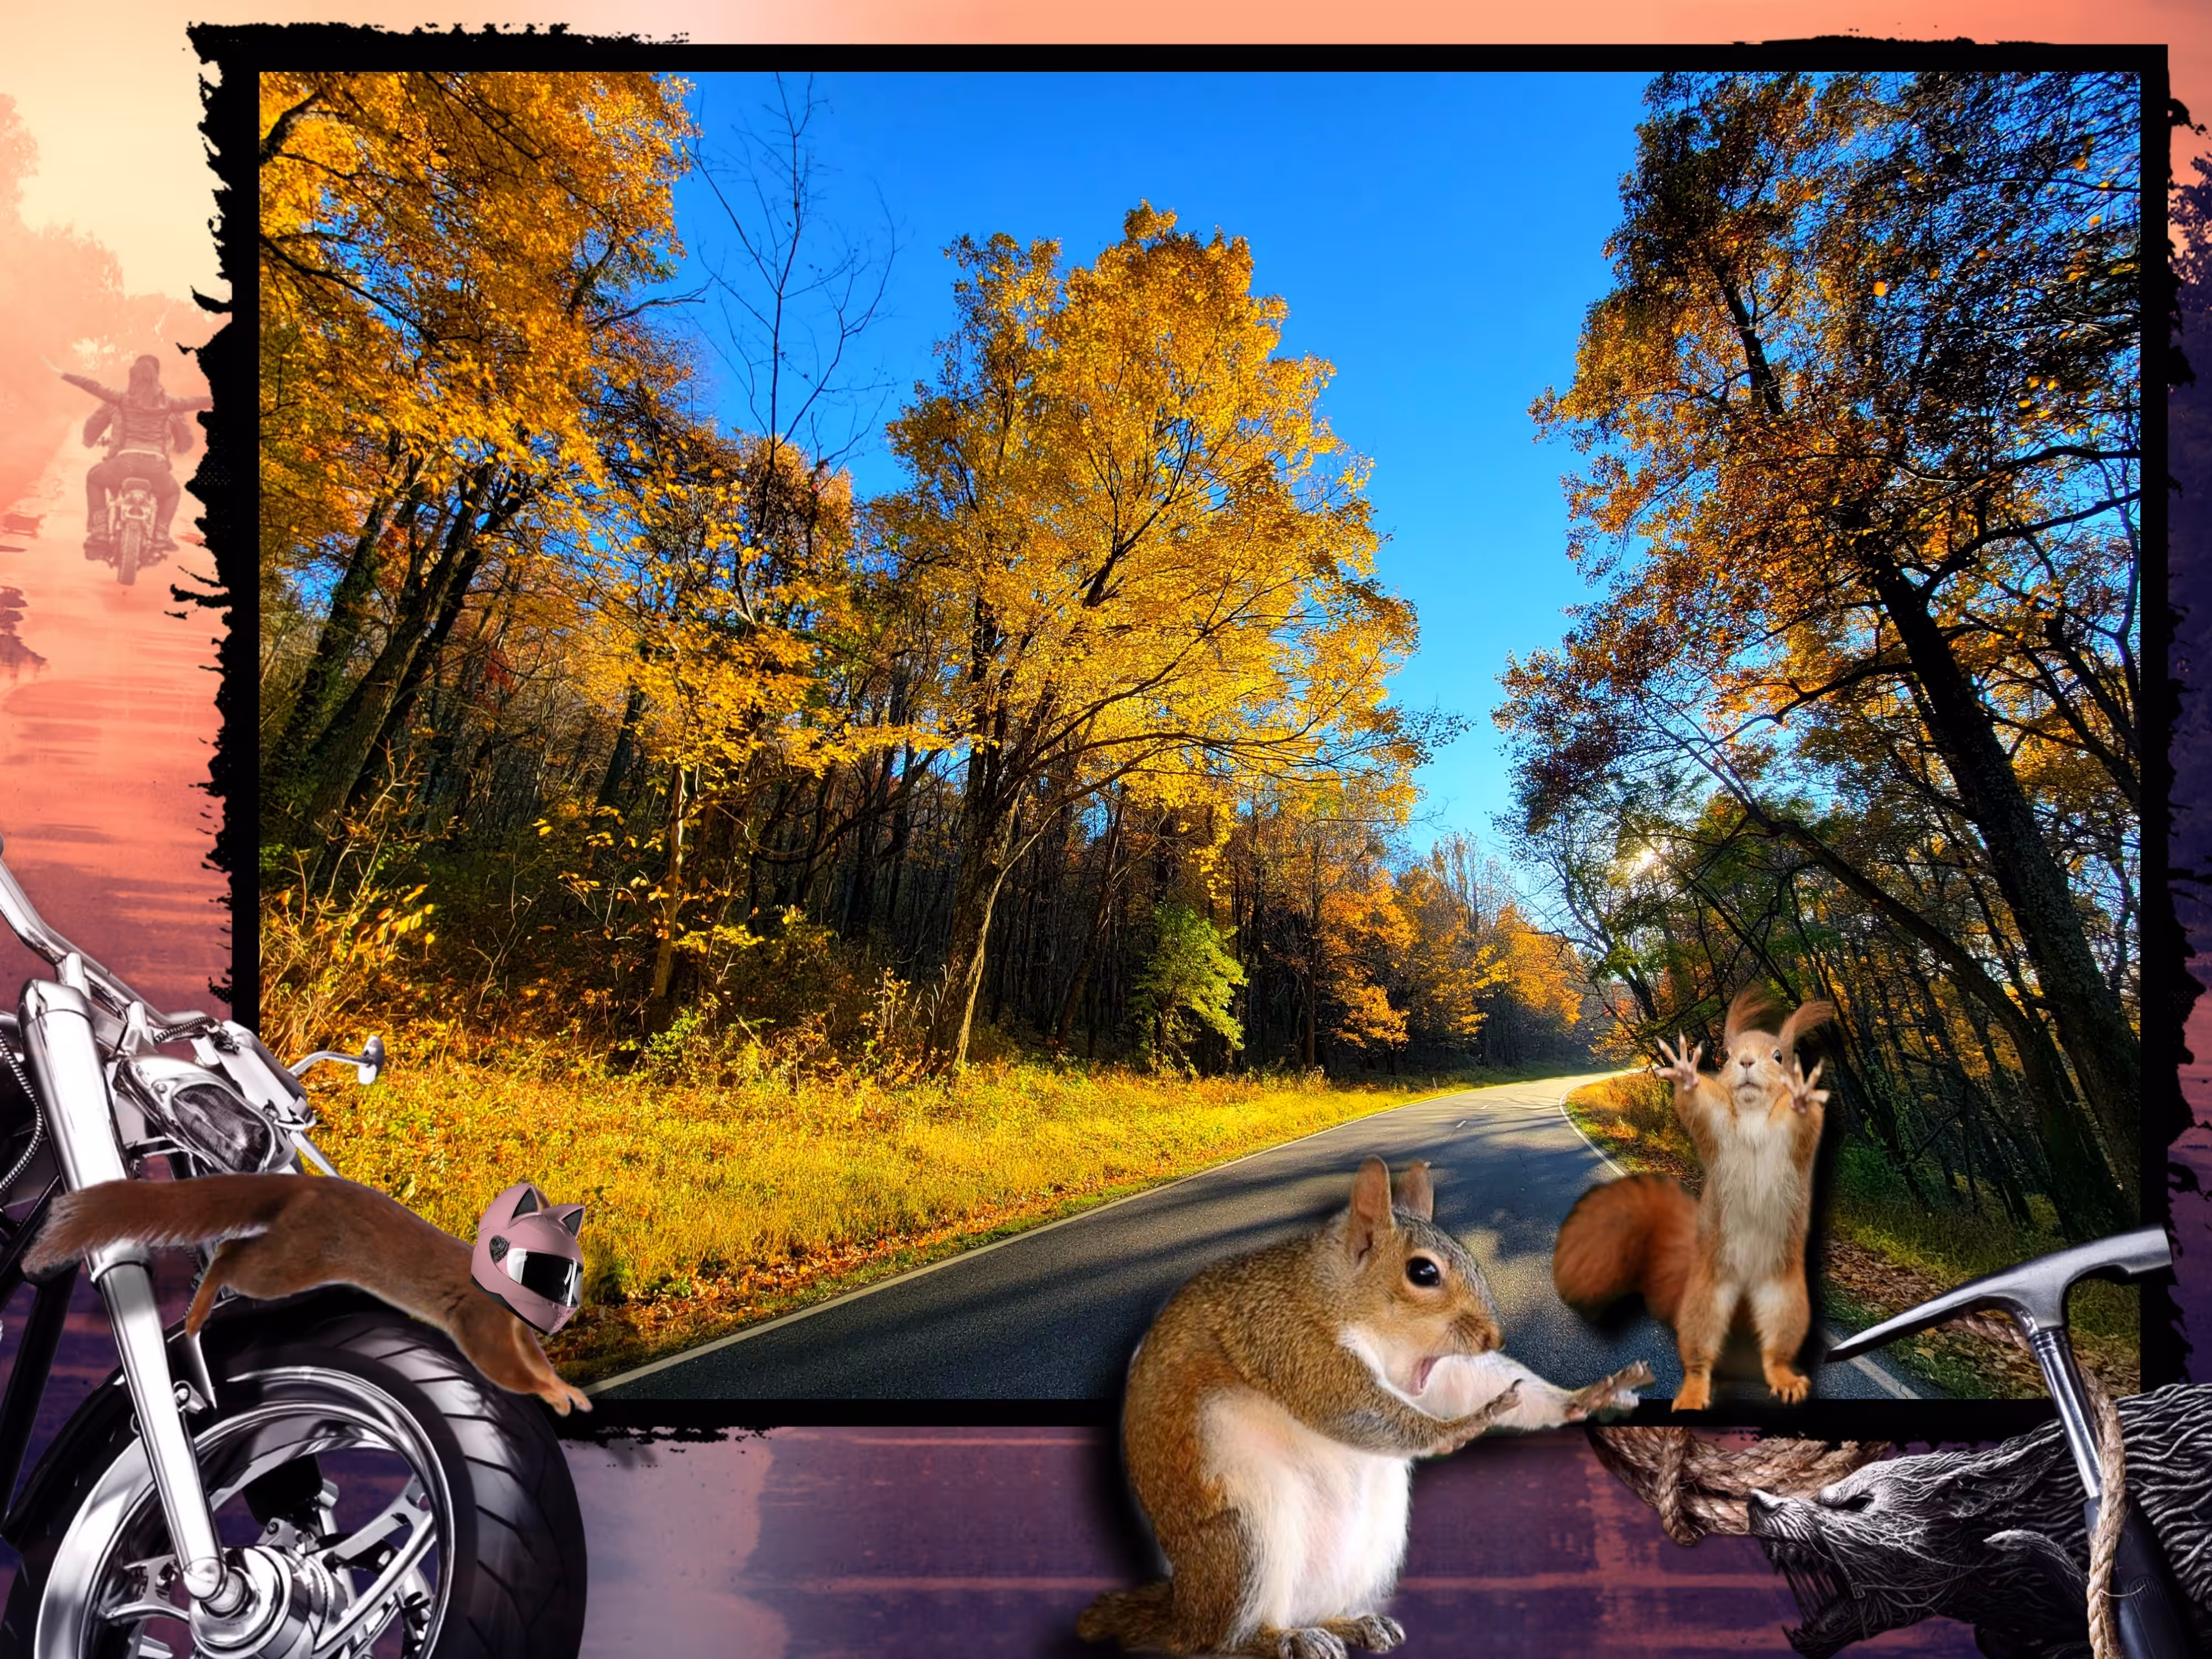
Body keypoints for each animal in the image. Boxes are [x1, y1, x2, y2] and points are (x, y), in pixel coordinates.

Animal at [24, 1173, 593, 1416]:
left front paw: (567, 1389)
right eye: (546, 1264)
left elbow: (535, 1361)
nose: (571, 1302)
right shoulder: (479, 1321)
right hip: (293, 1260)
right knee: (231, 1256)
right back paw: (196, 1313)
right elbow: (505, 1369)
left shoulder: (517, 1329)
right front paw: (554, 1397)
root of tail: (306, 1185)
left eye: (576, 1269)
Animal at [1078, 1156, 1652, 1658]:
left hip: (1367, 1546)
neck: (1336, 1294)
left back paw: (1349, 1623)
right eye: (1423, 1273)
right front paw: (1461, 1426)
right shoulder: (1288, 1339)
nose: (1495, 1336)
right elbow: (1349, 1404)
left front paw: (1585, 1397)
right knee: (1219, 1643)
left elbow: (1473, 1381)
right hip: (1243, 1541)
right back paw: (1283, 1640)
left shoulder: (1437, 1369)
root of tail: (1185, 1612)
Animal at [1552, 987, 1834, 1412]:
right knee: (1700, 1354)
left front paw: (1801, 1093)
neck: (1752, 1114)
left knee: (1775, 1351)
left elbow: (1805, 1123)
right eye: (1728, 1054)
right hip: (1706, 1300)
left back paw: (1786, 1379)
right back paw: (1692, 1393)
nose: (1746, 1062)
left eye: (1779, 1056)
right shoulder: (1718, 1127)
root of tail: (1746, 1289)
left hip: (1787, 1301)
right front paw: (1685, 1073)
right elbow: (1700, 1108)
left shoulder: (1796, 1141)